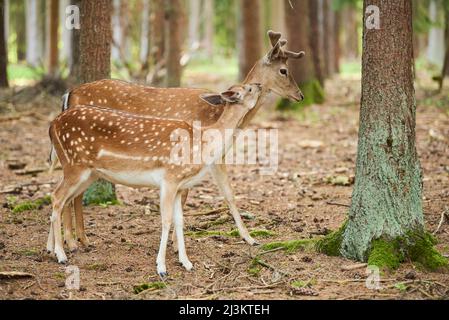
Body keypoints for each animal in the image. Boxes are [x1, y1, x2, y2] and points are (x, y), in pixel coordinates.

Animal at [47, 82, 260, 276]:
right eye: (248, 88)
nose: (259, 84)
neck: (203, 141)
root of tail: (52, 124)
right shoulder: (169, 178)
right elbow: (166, 220)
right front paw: (162, 267)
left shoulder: (179, 185)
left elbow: (179, 220)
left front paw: (186, 262)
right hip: (74, 165)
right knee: (57, 196)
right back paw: (61, 255)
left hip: (88, 172)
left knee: (63, 197)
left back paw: (52, 249)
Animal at [54, 31, 302, 254]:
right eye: (284, 70)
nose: (299, 95)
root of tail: (69, 94)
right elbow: (206, 195)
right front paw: (176, 245)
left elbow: (224, 194)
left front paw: (249, 238)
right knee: (69, 193)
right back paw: (72, 242)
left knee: (73, 193)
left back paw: (80, 240)